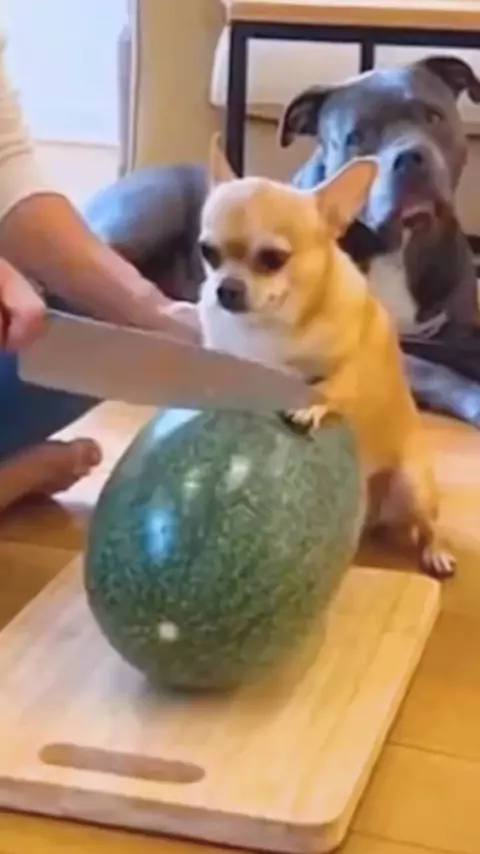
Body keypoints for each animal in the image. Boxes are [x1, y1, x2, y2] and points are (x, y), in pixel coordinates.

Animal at [198, 138, 455, 580]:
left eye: (273, 259)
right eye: (207, 253)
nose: (226, 288)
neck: (267, 326)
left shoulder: (357, 363)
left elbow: (332, 385)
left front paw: (309, 407)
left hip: (412, 485)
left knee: (428, 525)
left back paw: (435, 551)